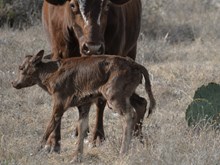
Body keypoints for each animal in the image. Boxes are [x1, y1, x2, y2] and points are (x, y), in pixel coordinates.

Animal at [12, 49, 156, 162]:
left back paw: (123, 152)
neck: (52, 71)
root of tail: (134, 64)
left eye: (21, 68)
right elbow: (82, 127)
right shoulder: (84, 105)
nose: (14, 83)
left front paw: (36, 151)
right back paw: (140, 141)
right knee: (142, 103)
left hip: (114, 96)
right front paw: (76, 158)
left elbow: (51, 124)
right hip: (128, 95)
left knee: (129, 115)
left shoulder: (59, 103)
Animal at [42, 0, 145, 144]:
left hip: (131, 51)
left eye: (107, 5)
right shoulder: (59, 56)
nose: (93, 48)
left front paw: (98, 135)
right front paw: (53, 139)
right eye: (72, 5)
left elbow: (100, 101)